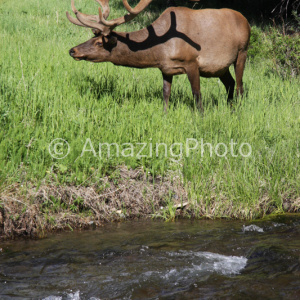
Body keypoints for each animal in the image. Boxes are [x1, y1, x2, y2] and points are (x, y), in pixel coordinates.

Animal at [67, 0, 250, 111]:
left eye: (99, 43)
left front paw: (201, 117)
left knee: (240, 86)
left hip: (242, 52)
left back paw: (239, 111)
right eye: (92, 38)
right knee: (230, 83)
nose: (72, 50)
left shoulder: (191, 62)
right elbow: (166, 94)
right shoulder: (166, 68)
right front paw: (165, 114)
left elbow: (197, 94)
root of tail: (245, 20)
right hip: (220, 68)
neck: (161, 49)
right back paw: (230, 108)